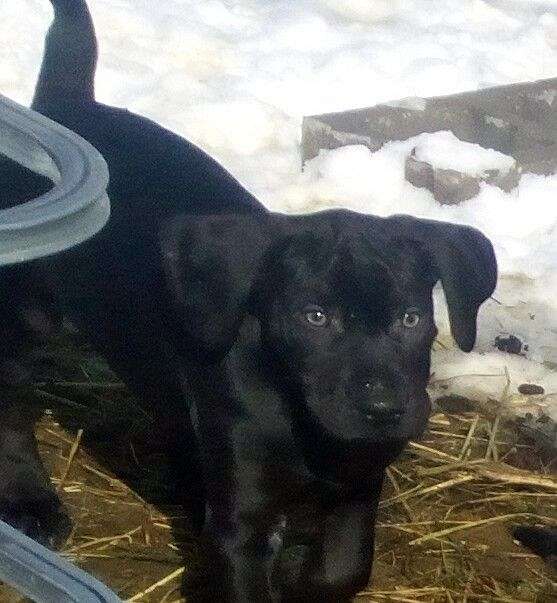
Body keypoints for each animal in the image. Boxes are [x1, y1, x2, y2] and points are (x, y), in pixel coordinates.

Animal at [0, 2, 496, 600]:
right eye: (315, 317)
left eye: (411, 318)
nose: (383, 409)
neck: (301, 419)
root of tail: (67, 106)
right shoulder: (245, 517)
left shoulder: (357, 489)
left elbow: (343, 568)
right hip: (25, 317)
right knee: (10, 408)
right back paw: (32, 502)